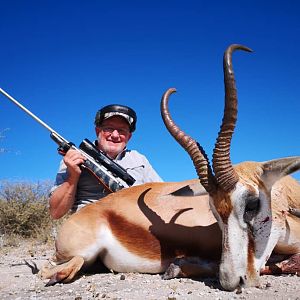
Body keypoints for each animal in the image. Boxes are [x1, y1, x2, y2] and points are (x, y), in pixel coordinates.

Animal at [39, 44, 300, 290]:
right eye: (214, 212)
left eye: (252, 205)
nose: (233, 280)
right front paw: (179, 267)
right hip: (80, 253)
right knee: (54, 268)